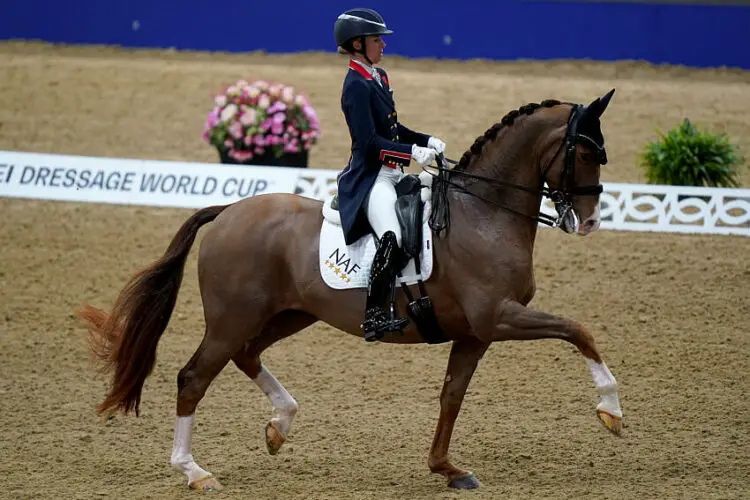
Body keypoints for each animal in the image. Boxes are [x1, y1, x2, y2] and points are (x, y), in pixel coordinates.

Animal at [79, 90, 624, 492]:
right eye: (583, 152)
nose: (591, 222)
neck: (483, 213)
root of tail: (228, 211)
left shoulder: (476, 332)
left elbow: (452, 395)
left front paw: (446, 469)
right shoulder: (498, 317)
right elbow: (579, 330)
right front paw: (611, 411)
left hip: (288, 314)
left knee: (246, 355)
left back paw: (280, 425)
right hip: (233, 318)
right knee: (193, 377)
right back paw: (194, 471)